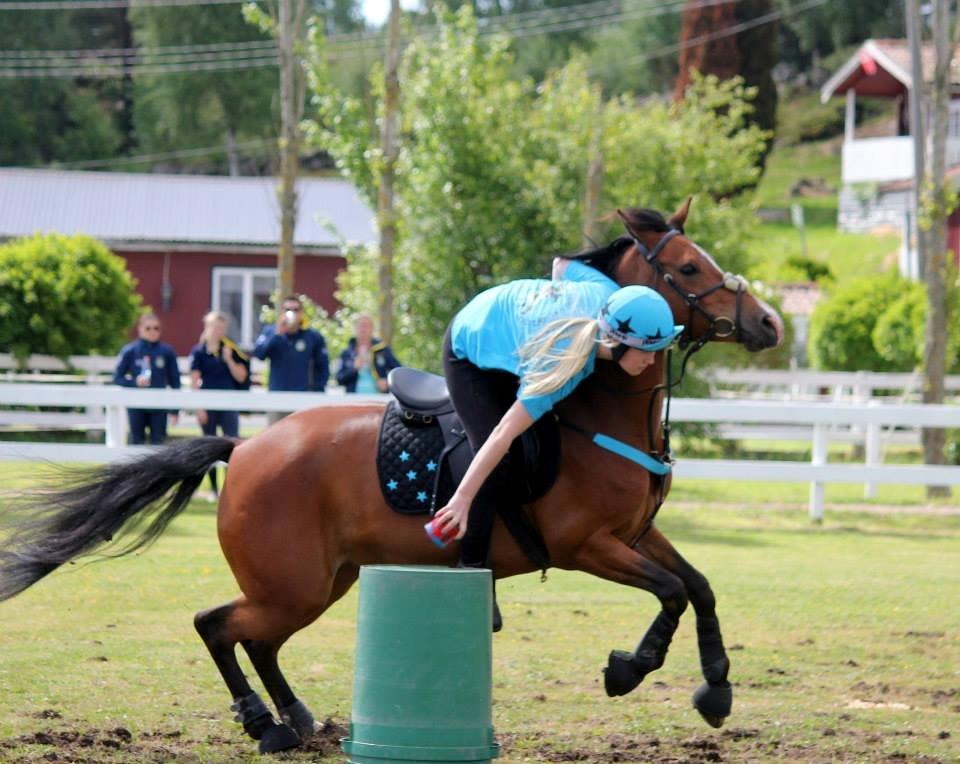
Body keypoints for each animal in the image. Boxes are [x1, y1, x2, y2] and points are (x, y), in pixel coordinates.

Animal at [0, 197, 780, 752]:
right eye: (688, 269)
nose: (769, 323)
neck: (599, 404)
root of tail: (243, 449)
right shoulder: (587, 546)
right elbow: (672, 592)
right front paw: (629, 670)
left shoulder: (635, 535)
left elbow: (698, 587)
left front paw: (716, 690)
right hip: (294, 584)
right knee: (217, 624)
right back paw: (263, 722)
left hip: (323, 581)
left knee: (256, 637)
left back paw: (292, 717)